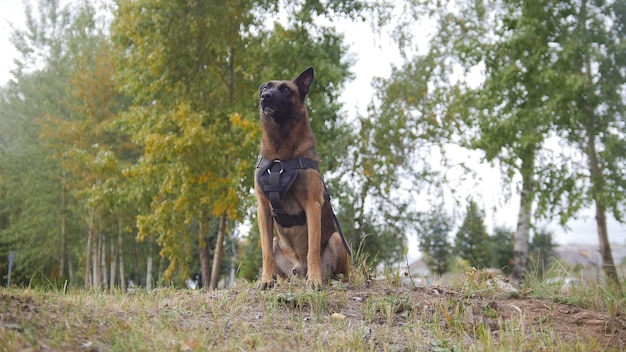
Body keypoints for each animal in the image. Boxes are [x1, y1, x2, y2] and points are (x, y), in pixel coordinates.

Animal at [254, 66, 352, 288]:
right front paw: (265, 280)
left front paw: (314, 280)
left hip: (336, 239)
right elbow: (265, 252)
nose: (265, 97)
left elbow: (313, 249)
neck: (280, 155)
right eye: (265, 87)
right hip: (278, 244)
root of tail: (298, 270)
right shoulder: (263, 208)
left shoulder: (312, 206)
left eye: (285, 89)